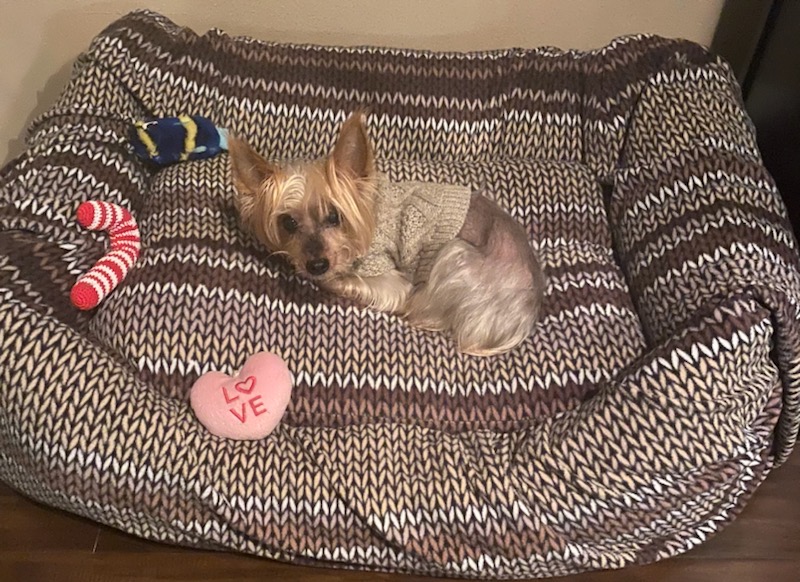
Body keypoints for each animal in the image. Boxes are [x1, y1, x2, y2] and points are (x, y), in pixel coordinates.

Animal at [228, 112, 545, 356]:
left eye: (335, 216)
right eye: (288, 223)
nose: (316, 265)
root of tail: (524, 315)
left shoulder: (388, 280)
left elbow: (351, 281)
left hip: (454, 253)